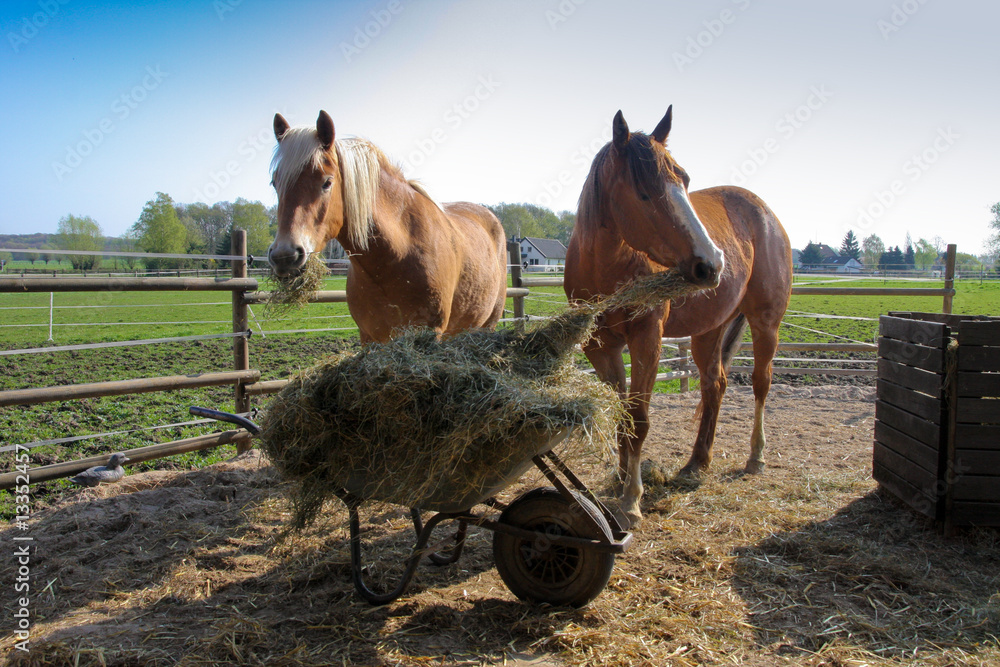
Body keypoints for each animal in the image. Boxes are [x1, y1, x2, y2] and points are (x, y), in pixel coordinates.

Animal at [268, 112, 508, 342]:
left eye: (327, 182)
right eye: (274, 183)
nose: (285, 256)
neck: (397, 254)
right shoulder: (370, 338)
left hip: (488, 323)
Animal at [568, 108, 792, 528]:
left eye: (685, 181)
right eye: (643, 191)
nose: (712, 262)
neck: (605, 266)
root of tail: (766, 214)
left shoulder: (647, 339)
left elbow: (639, 418)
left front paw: (632, 500)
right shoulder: (601, 348)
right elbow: (623, 414)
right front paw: (619, 479)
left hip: (765, 323)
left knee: (760, 383)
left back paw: (756, 456)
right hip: (710, 330)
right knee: (714, 385)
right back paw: (696, 463)